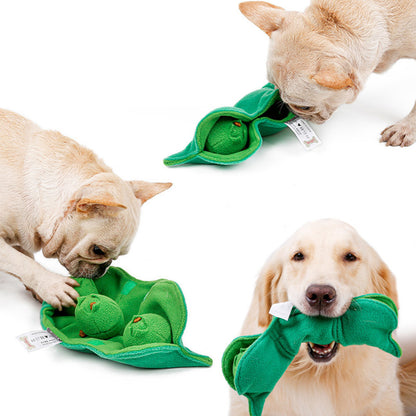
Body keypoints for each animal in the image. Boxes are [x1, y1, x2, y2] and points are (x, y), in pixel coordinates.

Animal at [0, 109, 171, 310]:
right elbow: (23, 262)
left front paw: (38, 290)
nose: (105, 267)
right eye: (97, 250)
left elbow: (25, 258)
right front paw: (52, 285)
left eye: (118, 256)